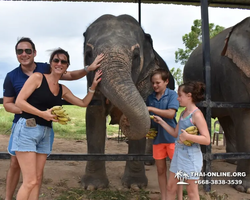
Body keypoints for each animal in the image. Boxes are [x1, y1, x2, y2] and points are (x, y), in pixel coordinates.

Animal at [81, 14, 174, 189]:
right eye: (88, 53)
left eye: (136, 56)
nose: (123, 118)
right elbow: (94, 115)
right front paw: (93, 186)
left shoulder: (147, 79)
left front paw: (135, 186)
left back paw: (150, 162)